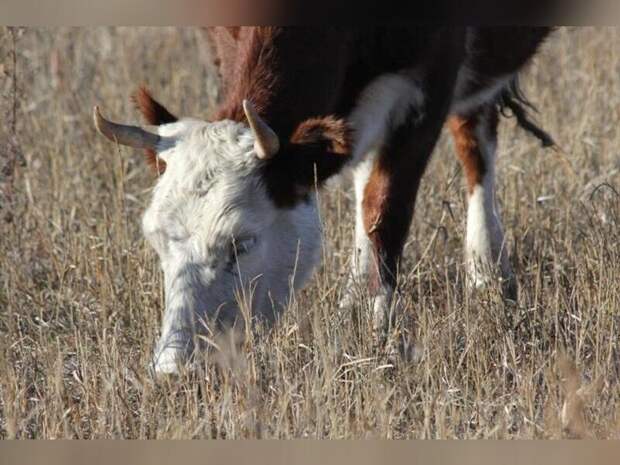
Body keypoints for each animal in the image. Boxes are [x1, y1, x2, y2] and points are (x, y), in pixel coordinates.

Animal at [94, 26, 556, 374]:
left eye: (242, 243)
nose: (174, 369)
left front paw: (379, 336)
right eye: (155, 240)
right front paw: (354, 314)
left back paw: (487, 270)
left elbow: (385, 210)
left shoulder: (433, 80)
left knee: (472, 140)